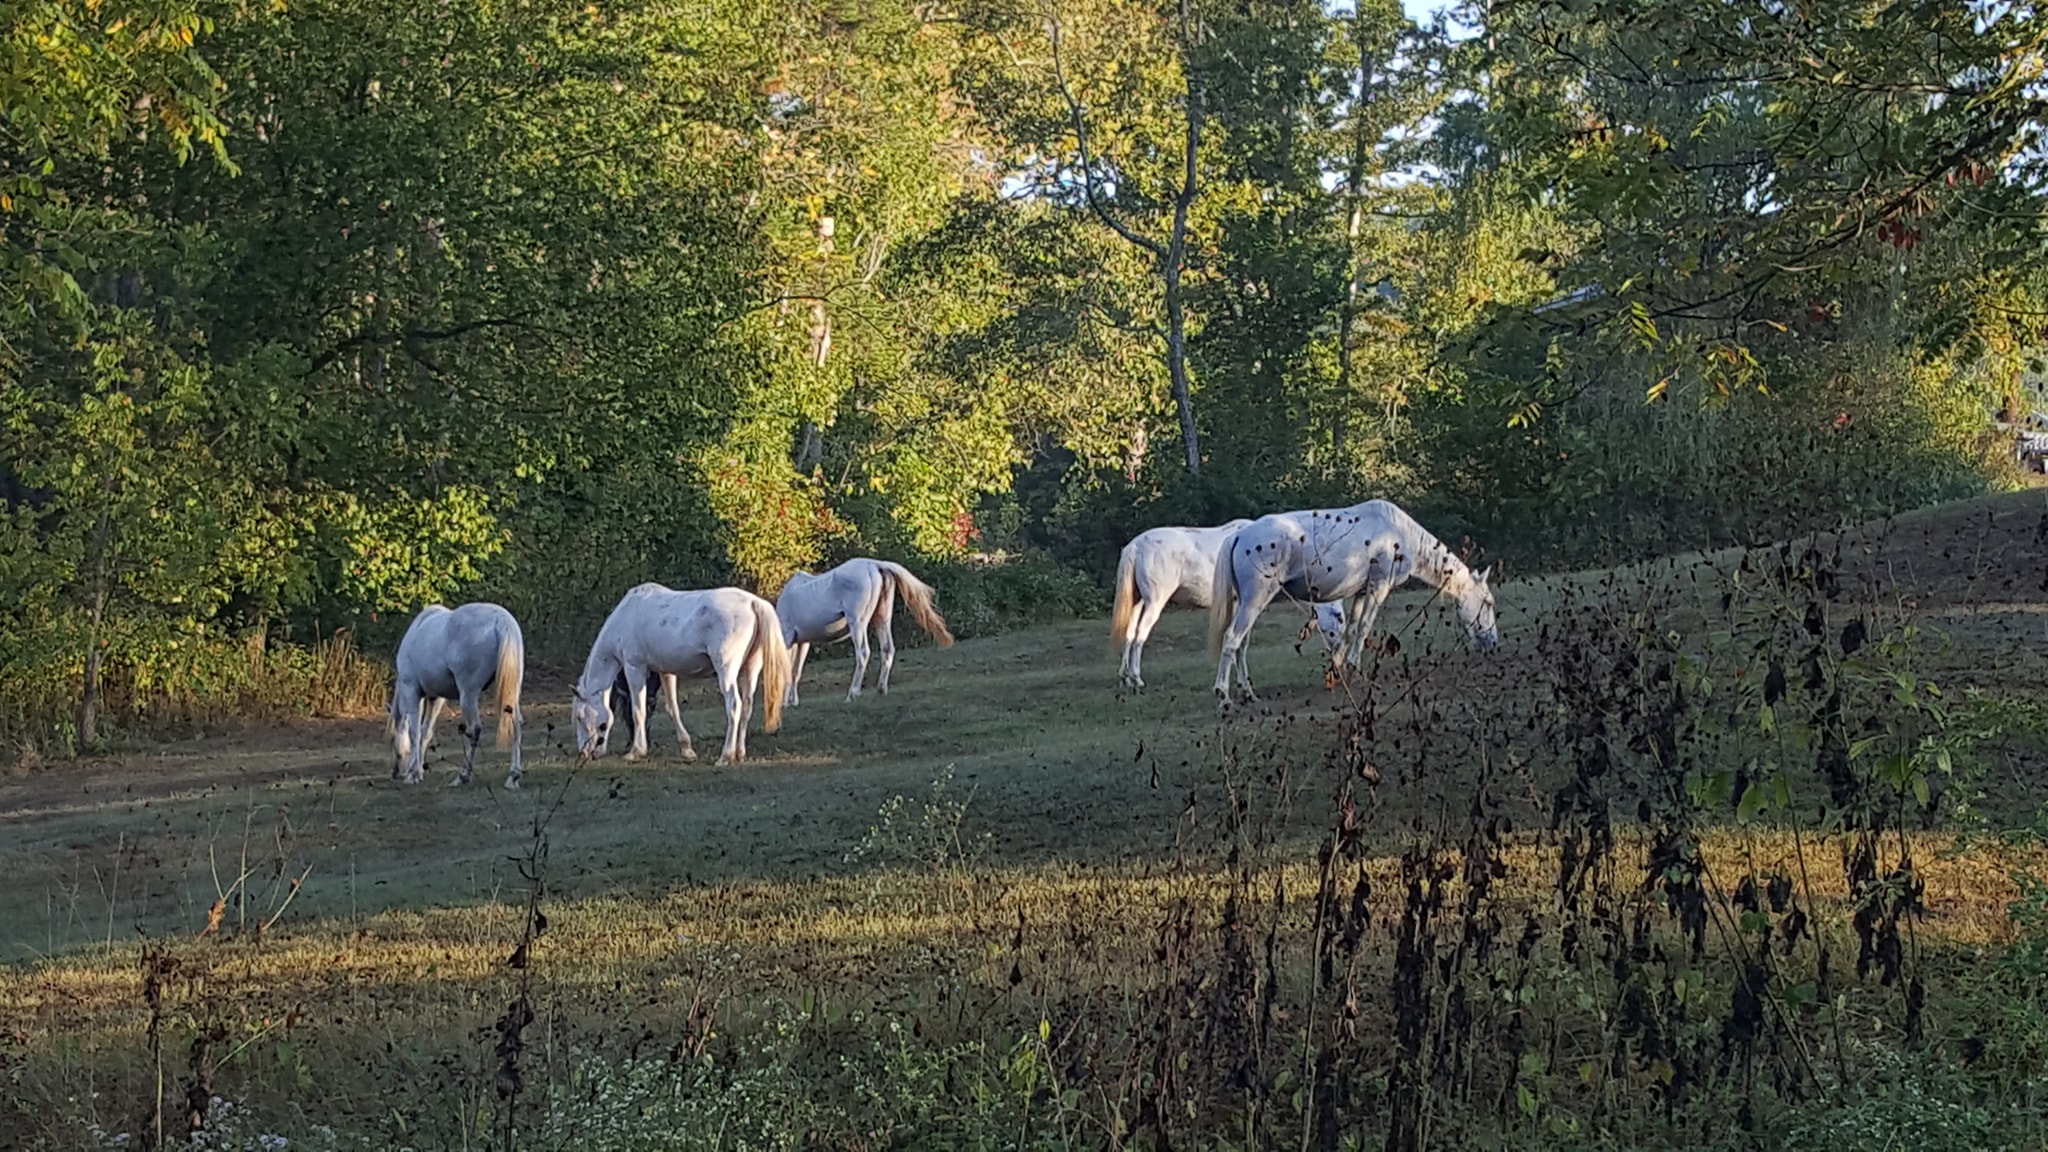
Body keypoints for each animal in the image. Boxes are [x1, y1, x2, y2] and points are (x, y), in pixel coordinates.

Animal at [388, 602, 526, 788]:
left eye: (392, 740)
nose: (396, 773)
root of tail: (501, 620)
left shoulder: (412, 691)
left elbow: (414, 732)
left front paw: (413, 774)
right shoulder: (435, 698)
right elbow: (425, 732)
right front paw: (419, 771)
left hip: (468, 694)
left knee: (474, 729)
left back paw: (463, 776)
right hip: (510, 692)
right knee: (515, 723)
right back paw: (513, 776)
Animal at [571, 583, 790, 765]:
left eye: (580, 717)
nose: (584, 753)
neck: (627, 616)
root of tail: (753, 602)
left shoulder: (635, 667)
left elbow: (638, 710)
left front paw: (636, 752)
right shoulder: (665, 672)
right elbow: (672, 708)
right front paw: (686, 749)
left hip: (727, 670)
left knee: (734, 706)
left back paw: (725, 756)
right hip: (751, 667)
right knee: (746, 706)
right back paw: (739, 753)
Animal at [776, 558, 954, 705]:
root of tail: (875, 565)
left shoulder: (788, 638)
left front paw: (785, 703)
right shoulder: (802, 642)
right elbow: (795, 671)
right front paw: (793, 702)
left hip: (858, 622)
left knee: (863, 653)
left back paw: (852, 695)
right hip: (882, 619)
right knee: (887, 649)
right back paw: (881, 690)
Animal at [1208, 499, 1497, 704]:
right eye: (1488, 603)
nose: (1492, 643)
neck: (1400, 534)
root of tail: (1239, 535)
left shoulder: (1360, 592)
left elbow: (1349, 631)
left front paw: (1337, 671)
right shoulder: (1379, 586)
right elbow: (1363, 629)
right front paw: (1355, 669)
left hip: (1248, 603)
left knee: (1241, 645)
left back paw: (1248, 693)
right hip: (1255, 600)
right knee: (1232, 639)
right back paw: (1224, 696)